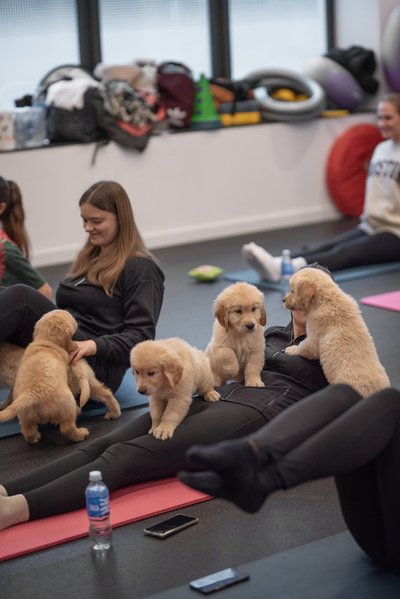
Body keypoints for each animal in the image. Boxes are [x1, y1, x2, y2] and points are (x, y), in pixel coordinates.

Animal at [0, 312, 89, 442]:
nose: (74, 316)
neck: (45, 342)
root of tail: (32, 394)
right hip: (68, 405)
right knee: (67, 428)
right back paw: (81, 433)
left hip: (26, 416)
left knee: (28, 431)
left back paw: (35, 438)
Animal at [284, 268, 390, 398]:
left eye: (292, 290)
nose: (283, 300)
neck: (326, 298)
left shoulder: (314, 337)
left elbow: (303, 347)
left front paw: (291, 349)